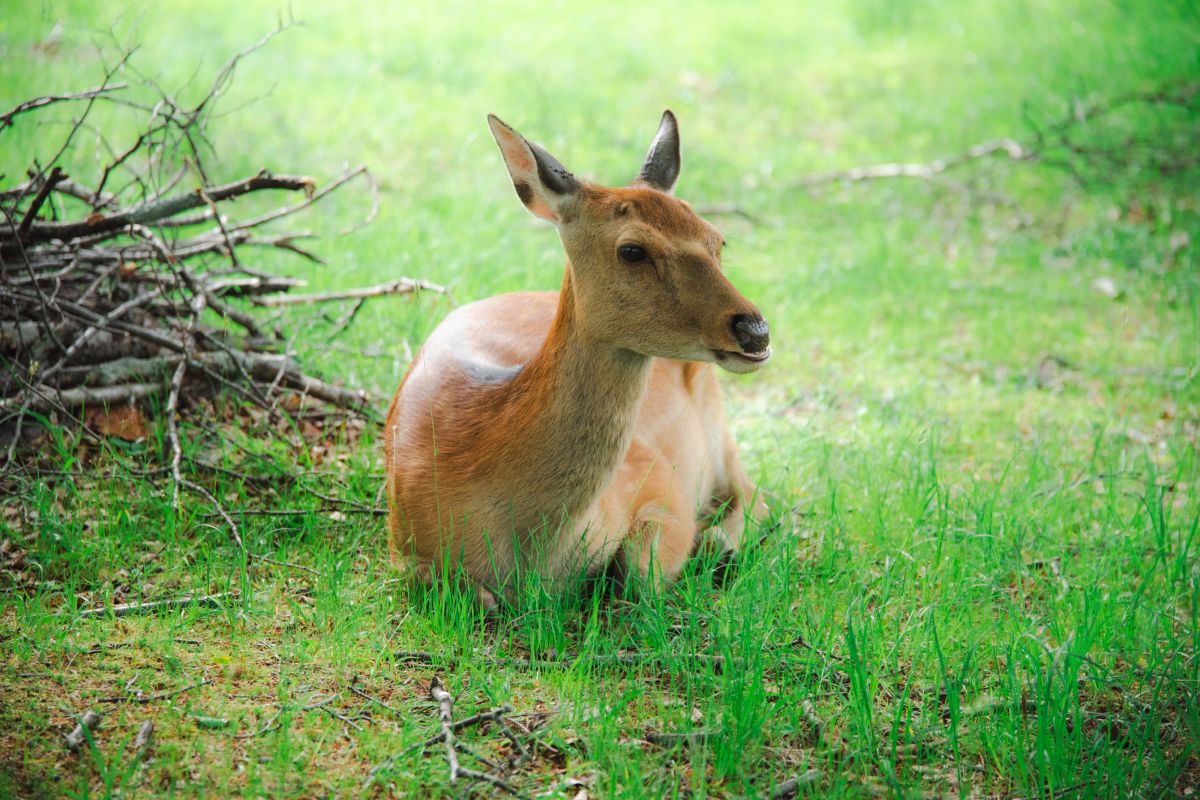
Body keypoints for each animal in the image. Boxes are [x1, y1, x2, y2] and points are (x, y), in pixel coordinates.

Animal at [384, 109, 768, 609]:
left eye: (718, 240)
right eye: (632, 250)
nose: (755, 331)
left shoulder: (660, 482)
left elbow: (639, 575)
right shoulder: (402, 544)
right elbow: (474, 595)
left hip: (717, 422)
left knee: (756, 493)